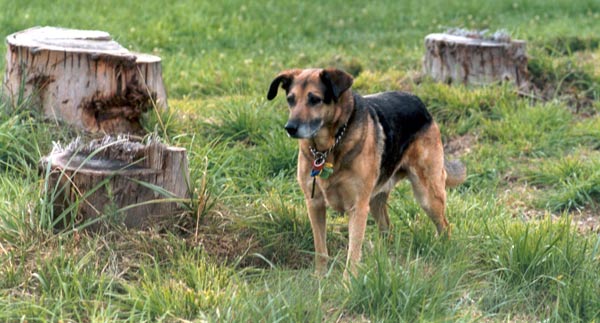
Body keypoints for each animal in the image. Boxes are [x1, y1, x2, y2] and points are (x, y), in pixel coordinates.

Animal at [268, 68, 468, 278]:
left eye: (315, 99)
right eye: (290, 99)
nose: (290, 128)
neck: (328, 149)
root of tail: (419, 102)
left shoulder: (357, 208)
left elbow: (353, 254)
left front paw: (348, 283)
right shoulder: (314, 204)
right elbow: (321, 249)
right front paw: (320, 279)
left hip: (427, 196)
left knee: (445, 227)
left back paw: (444, 255)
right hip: (375, 202)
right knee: (387, 228)